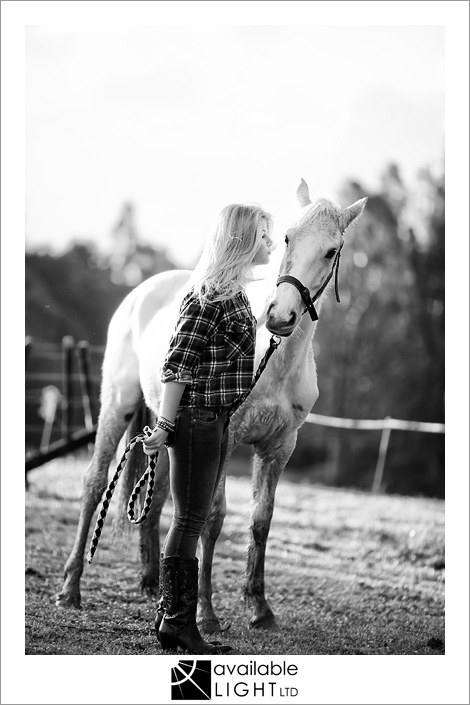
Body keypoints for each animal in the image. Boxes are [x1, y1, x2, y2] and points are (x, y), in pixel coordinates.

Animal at [56, 179, 368, 628]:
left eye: (331, 251)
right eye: (288, 237)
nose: (280, 317)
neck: (273, 359)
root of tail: (144, 290)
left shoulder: (279, 448)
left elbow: (261, 521)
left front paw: (259, 607)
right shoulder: (225, 437)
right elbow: (213, 518)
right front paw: (206, 613)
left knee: (157, 496)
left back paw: (152, 582)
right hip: (117, 405)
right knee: (95, 483)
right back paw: (71, 588)